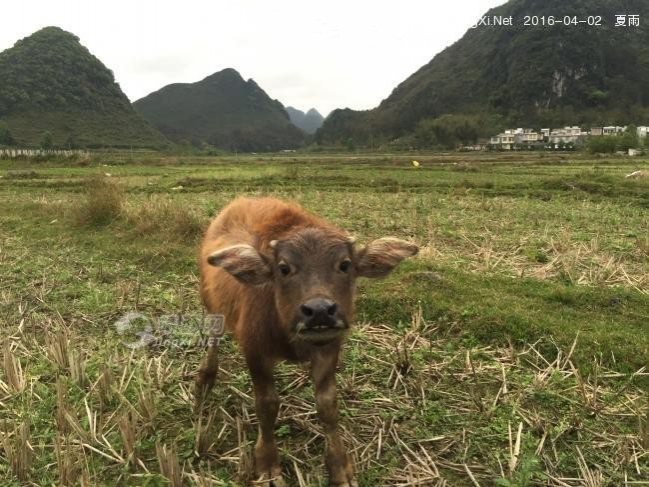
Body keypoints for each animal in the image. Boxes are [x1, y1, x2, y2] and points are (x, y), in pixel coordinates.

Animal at [196, 196, 416, 486]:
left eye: (345, 265)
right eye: (283, 268)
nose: (320, 310)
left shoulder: (329, 348)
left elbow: (327, 405)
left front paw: (339, 467)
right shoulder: (255, 352)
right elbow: (266, 405)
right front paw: (268, 463)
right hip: (211, 304)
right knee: (213, 338)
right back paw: (204, 380)